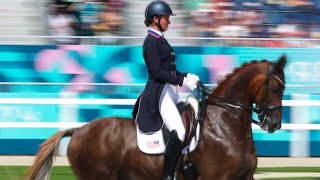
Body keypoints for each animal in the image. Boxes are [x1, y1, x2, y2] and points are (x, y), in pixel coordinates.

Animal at [28, 55, 288, 180]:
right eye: (276, 88)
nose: (274, 124)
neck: (225, 126)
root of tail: (79, 130)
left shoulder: (246, 177)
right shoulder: (217, 178)